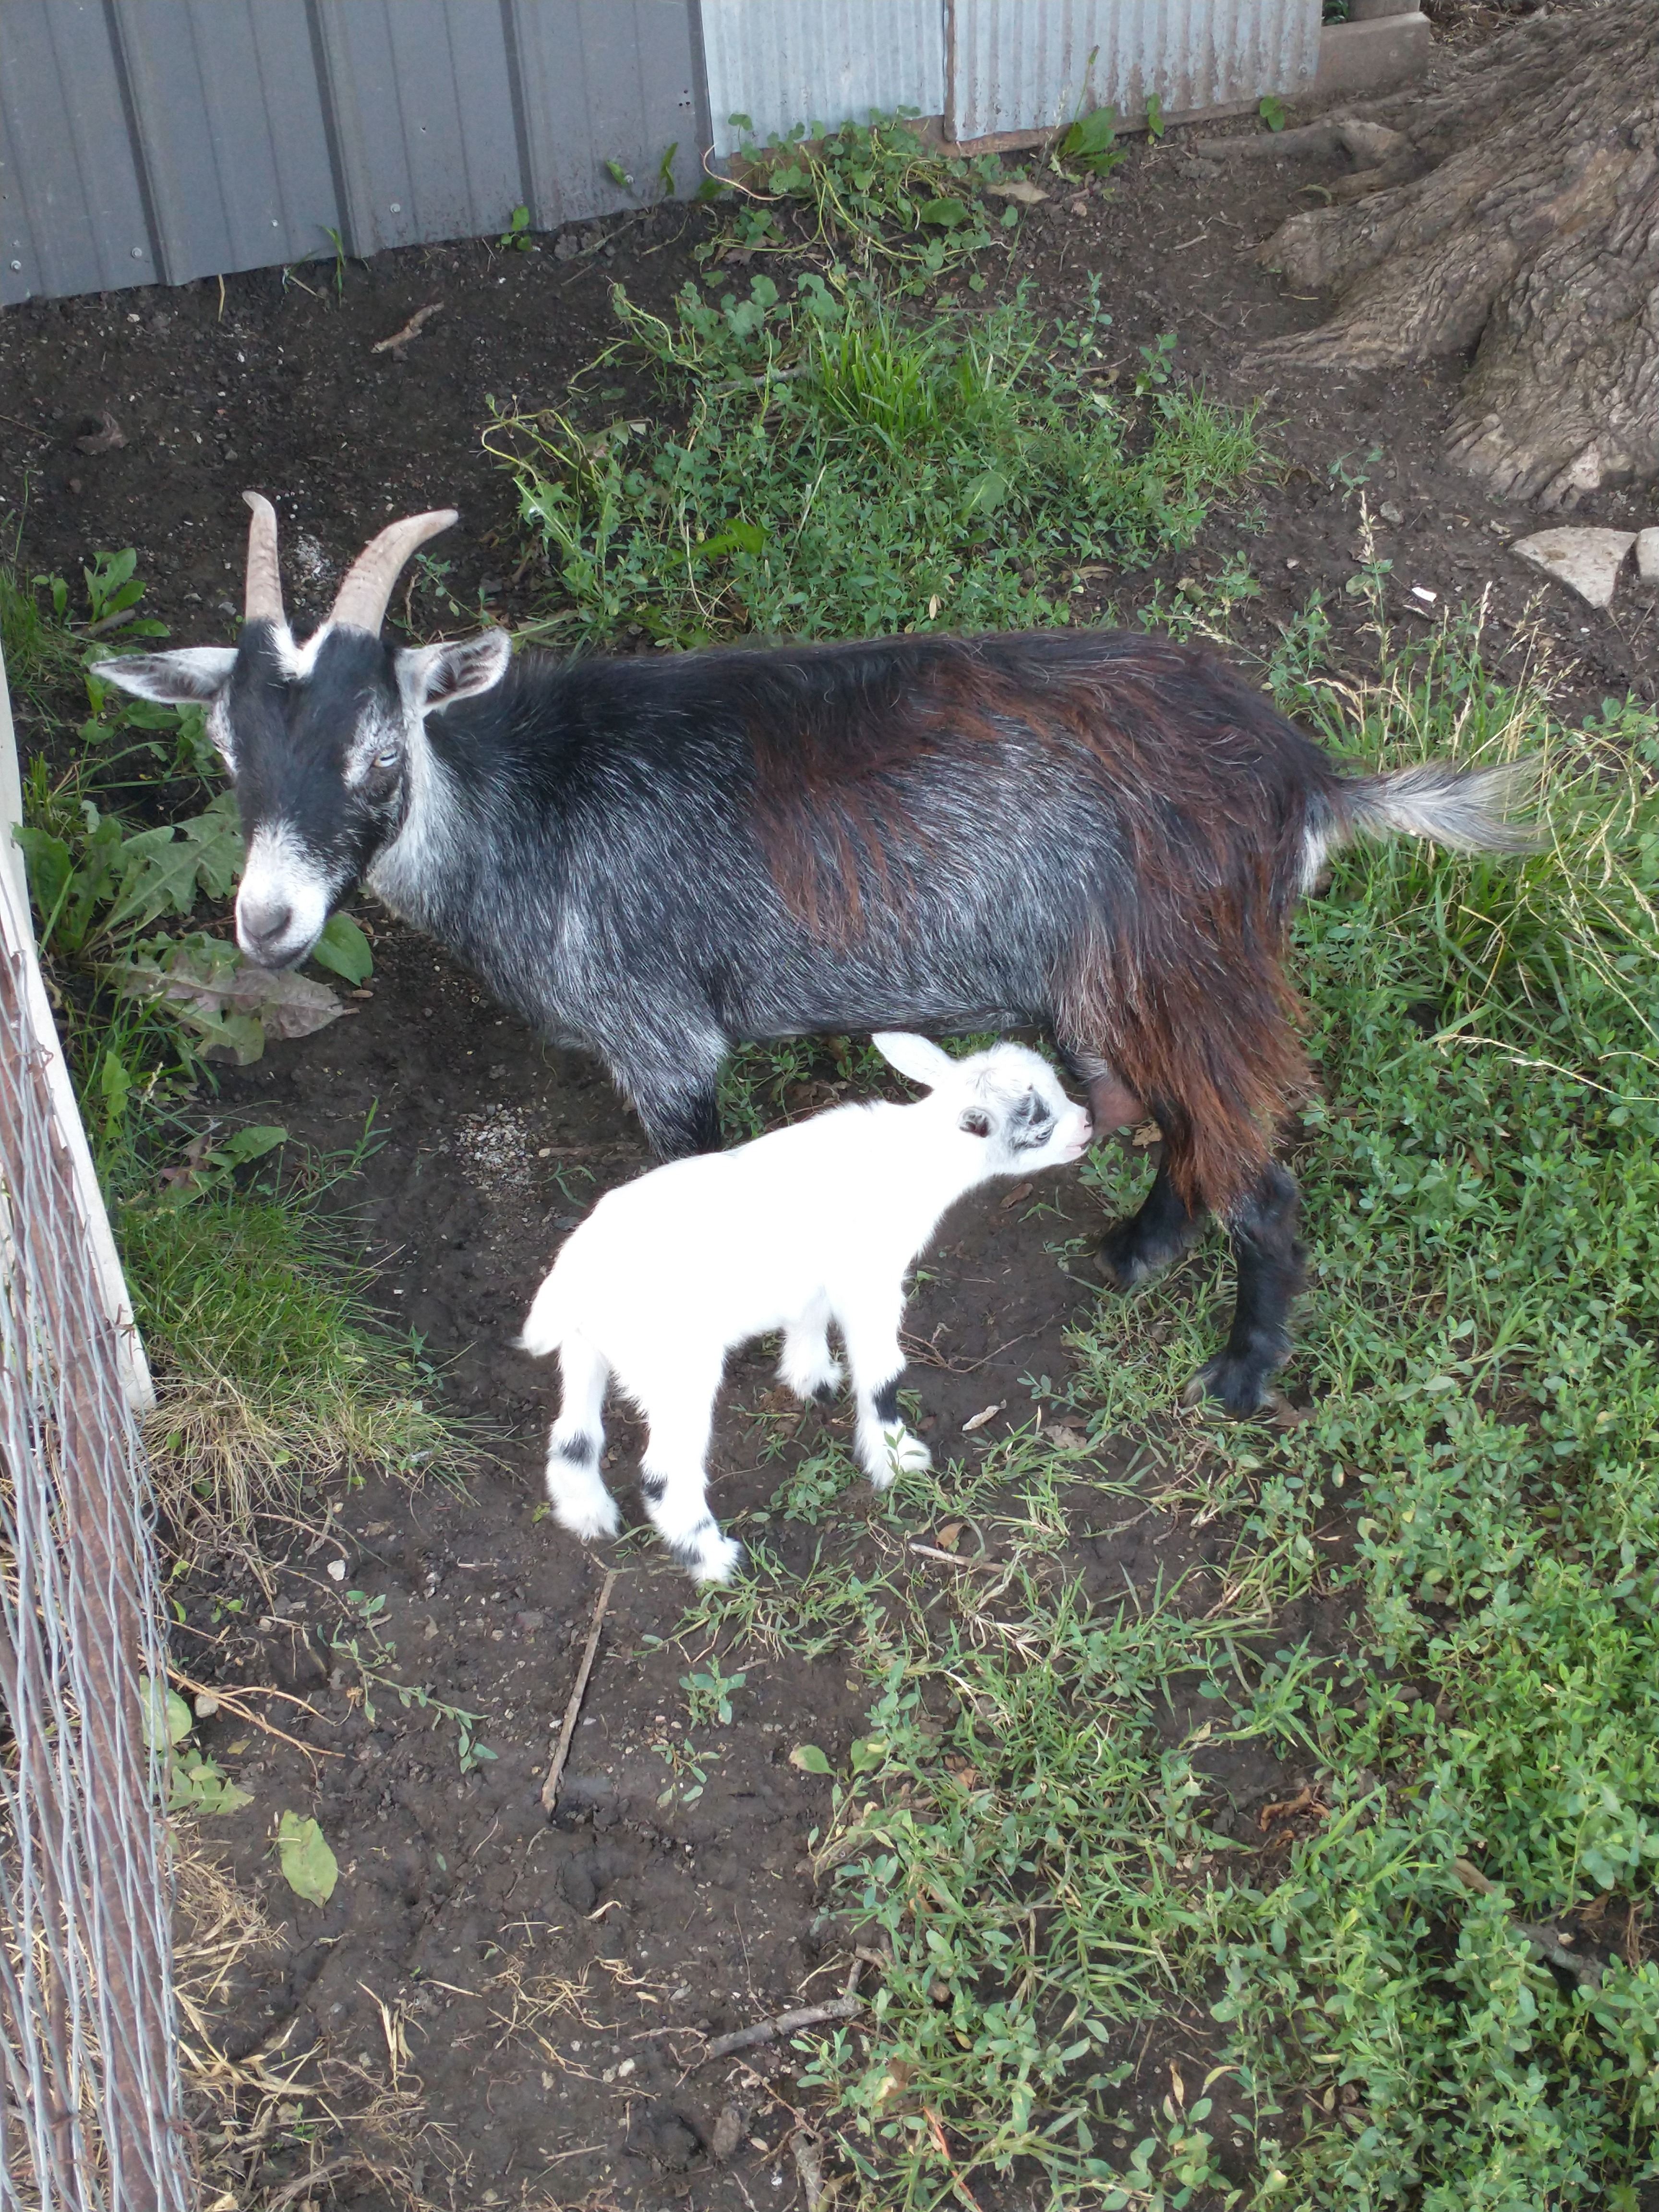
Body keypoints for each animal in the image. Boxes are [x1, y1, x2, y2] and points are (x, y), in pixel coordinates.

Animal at [101, 497, 1535, 1413]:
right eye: (228, 751)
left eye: (376, 754)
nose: (267, 924)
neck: (528, 806)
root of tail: (1307, 778)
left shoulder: (662, 1035)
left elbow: (693, 1183)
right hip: (1119, 983)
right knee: (1184, 1123)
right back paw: (1134, 1254)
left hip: (1183, 962)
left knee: (1256, 1165)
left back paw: (1239, 1374)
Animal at [518, 1033, 1092, 1580]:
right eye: (1039, 1122)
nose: (1088, 1123)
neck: (908, 1159)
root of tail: (573, 1278)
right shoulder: (870, 1280)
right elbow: (883, 1377)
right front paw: (898, 1459)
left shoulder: (817, 1280)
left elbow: (809, 1319)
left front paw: (811, 1379)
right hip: (676, 1369)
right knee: (664, 1475)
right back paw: (713, 1559)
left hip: (586, 1350)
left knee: (573, 1437)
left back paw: (587, 1517)